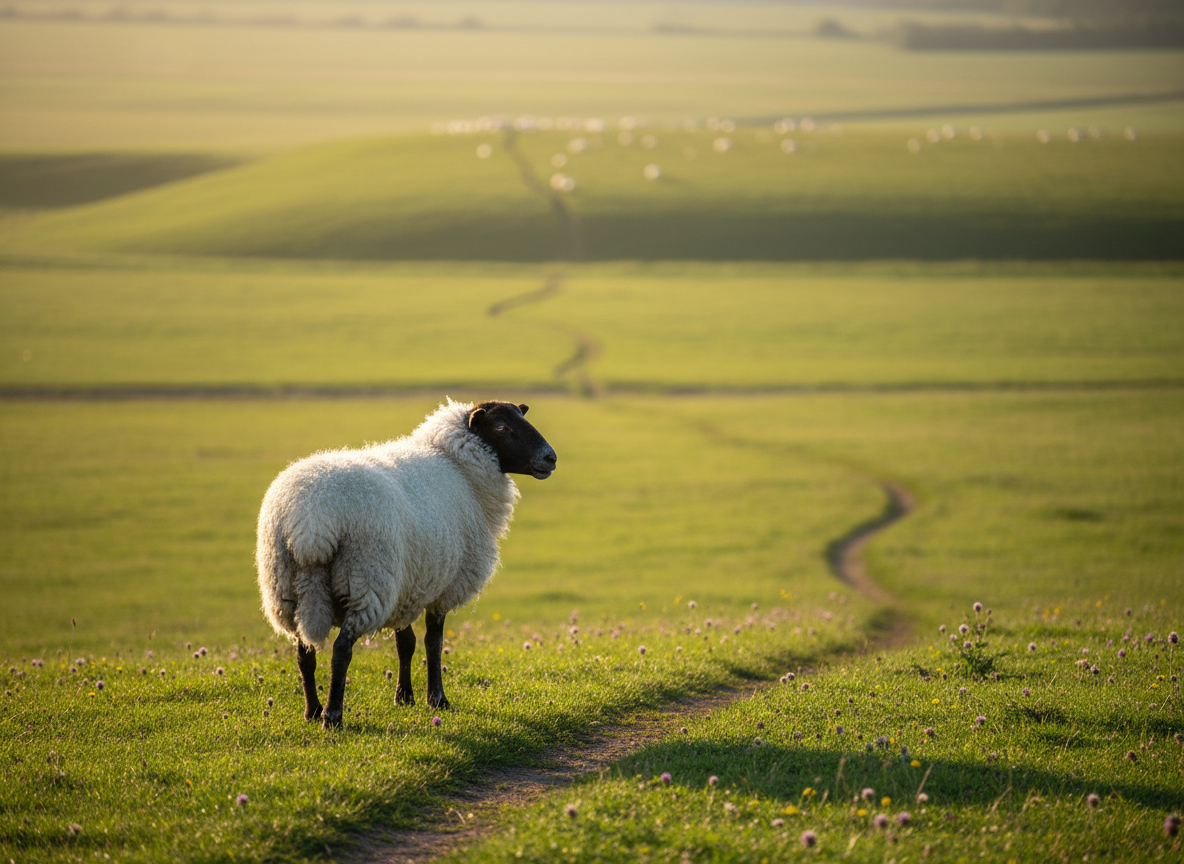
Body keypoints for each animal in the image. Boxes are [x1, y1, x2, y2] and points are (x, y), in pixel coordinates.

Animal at [255, 399, 557, 728]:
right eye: (501, 426)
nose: (550, 457)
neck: (460, 468)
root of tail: (310, 522)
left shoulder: (409, 585)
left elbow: (406, 643)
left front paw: (404, 697)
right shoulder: (443, 587)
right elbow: (433, 643)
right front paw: (437, 699)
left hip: (288, 589)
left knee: (304, 654)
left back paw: (311, 710)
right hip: (366, 581)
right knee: (341, 649)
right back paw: (332, 715)